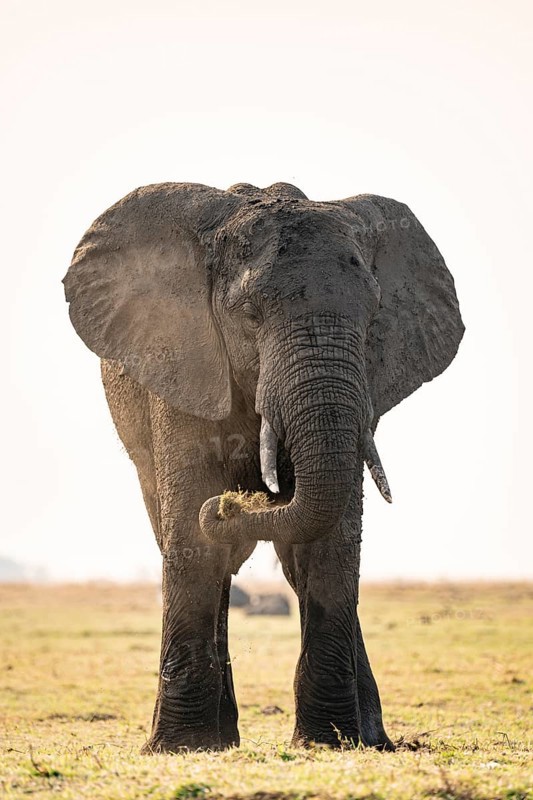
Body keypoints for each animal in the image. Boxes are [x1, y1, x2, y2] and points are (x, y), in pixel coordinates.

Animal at [63, 181, 464, 753]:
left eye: (373, 317)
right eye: (250, 315)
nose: (232, 505)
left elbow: (329, 543)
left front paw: (327, 742)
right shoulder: (181, 354)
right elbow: (193, 537)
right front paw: (182, 747)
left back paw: (370, 739)